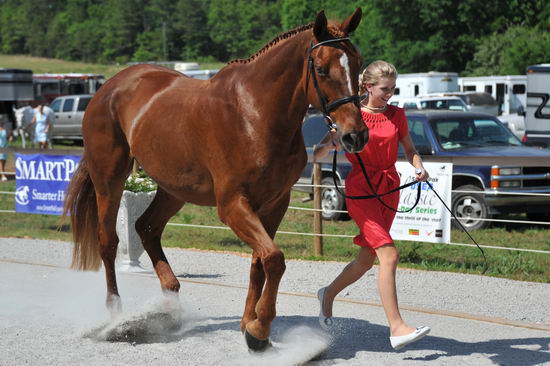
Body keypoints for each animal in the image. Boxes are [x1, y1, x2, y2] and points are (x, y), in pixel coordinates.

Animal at [63, 9, 366, 352]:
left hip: (173, 189)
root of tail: (109, 88)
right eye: (321, 68)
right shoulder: (233, 205)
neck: (255, 115)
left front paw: (249, 323)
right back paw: (116, 315)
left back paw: (169, 306)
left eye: (358, 63)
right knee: (108, 242)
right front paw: (259, 329)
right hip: (109, 180)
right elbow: (274, 259)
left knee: (147, 228)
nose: (355, 135)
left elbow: (260, 262)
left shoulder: (274, 203)